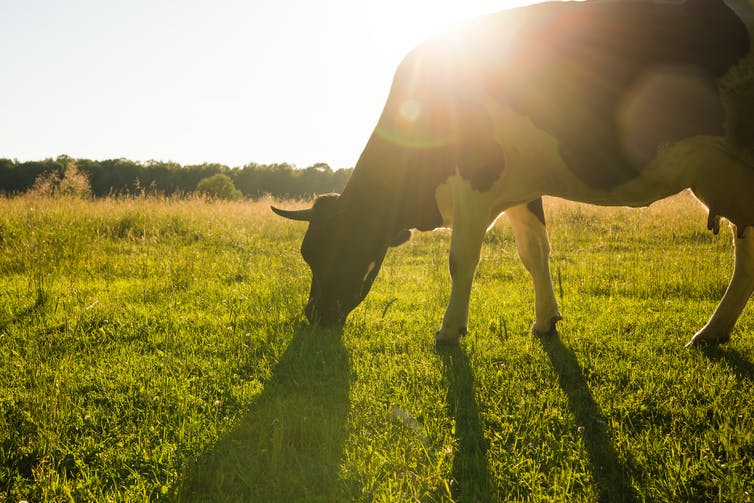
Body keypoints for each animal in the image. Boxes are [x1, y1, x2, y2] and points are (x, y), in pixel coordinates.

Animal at [274, 0, 752, 346]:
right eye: (307, 254)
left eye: (338, 248)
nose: (314, 316)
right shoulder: (524, 189)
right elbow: (534, 252)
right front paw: (545, 321)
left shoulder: (476, 177)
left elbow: (461, 259)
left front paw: (449, 330)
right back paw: (712, 332)